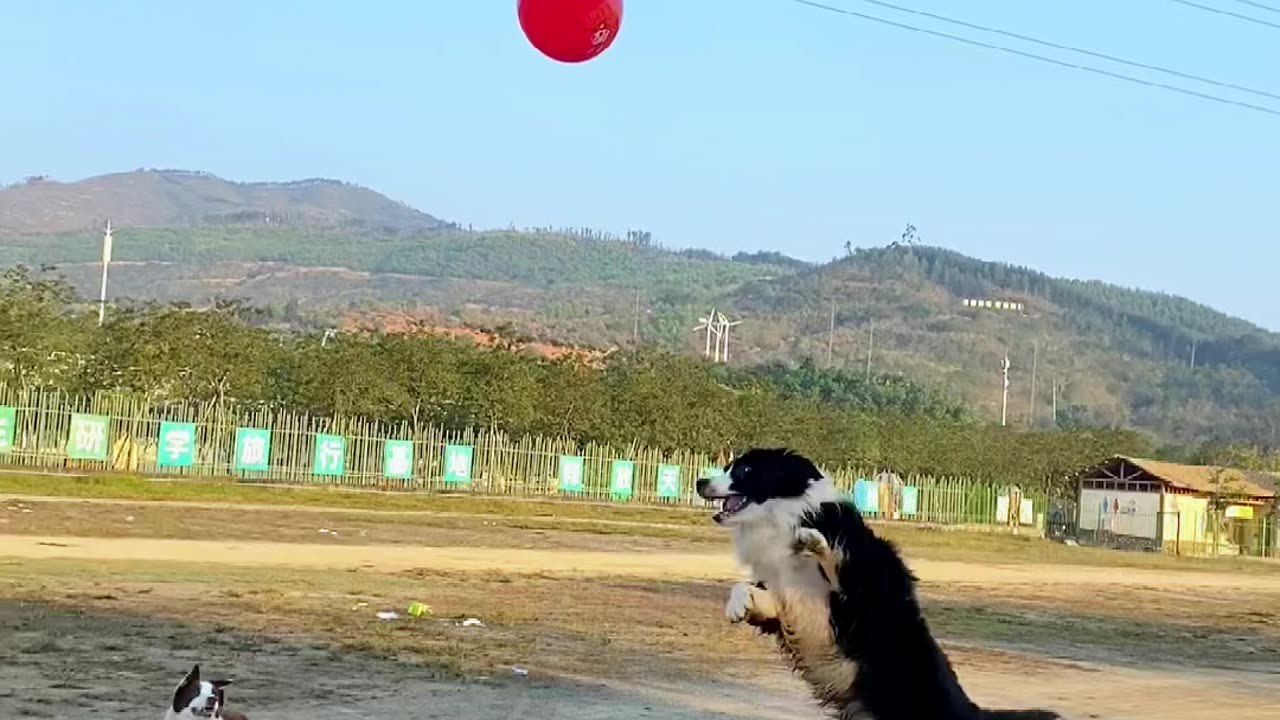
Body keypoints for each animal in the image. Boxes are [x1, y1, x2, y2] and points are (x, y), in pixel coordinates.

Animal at [696, 448, 1064, 717]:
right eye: (727, 466)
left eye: (744, 470)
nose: (700, 481)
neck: (780, 518)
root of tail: (973, 711)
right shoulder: (790, 599)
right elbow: (749, 588)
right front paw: (738, 605)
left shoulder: (862, 586)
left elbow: (837, 559)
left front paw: (814, 540)